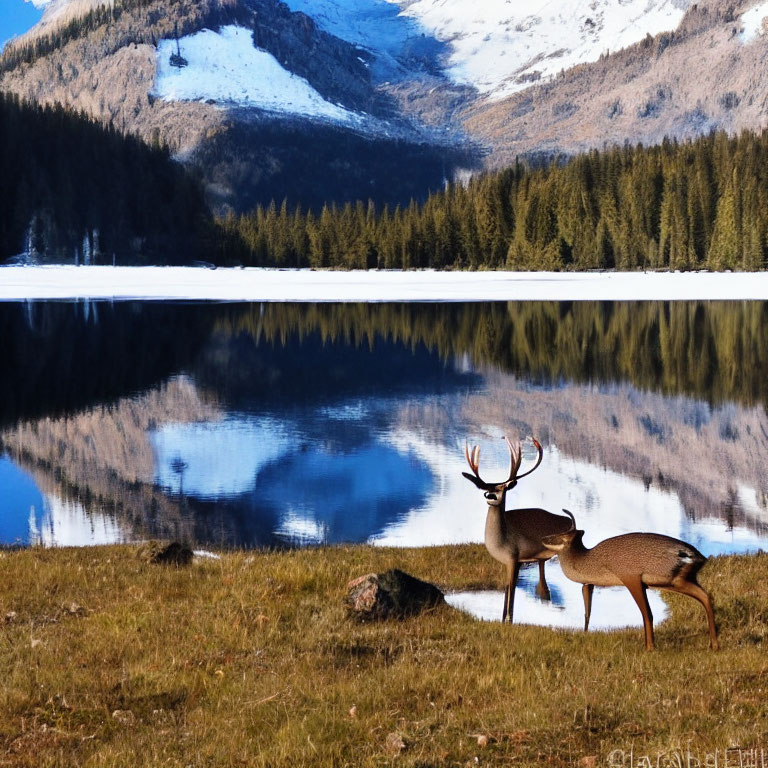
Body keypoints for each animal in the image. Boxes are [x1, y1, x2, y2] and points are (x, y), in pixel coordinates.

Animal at [462, 438, 576, 624]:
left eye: (504, 488)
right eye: (486, 488)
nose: (490, 496)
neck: (501, 542)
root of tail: (570, 520)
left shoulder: (514, 557)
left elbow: (512, 588)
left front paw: (509, 619)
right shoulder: (511, 561)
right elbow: (507, 587)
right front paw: (503, 618)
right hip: (543, 559)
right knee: (544, 586)